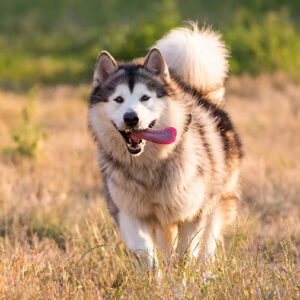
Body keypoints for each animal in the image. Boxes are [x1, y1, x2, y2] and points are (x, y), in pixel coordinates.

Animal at [88, 22, 241, 268]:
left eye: (145, 98)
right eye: (118, 99)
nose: (131, 118)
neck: (149, 163)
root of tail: (199, 92)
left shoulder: (193, 212)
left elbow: (186, 255)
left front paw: (181, 278)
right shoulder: (128, 211)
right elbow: (147, 254)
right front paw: (155, 277)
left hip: (216, 202)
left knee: (207, 247)